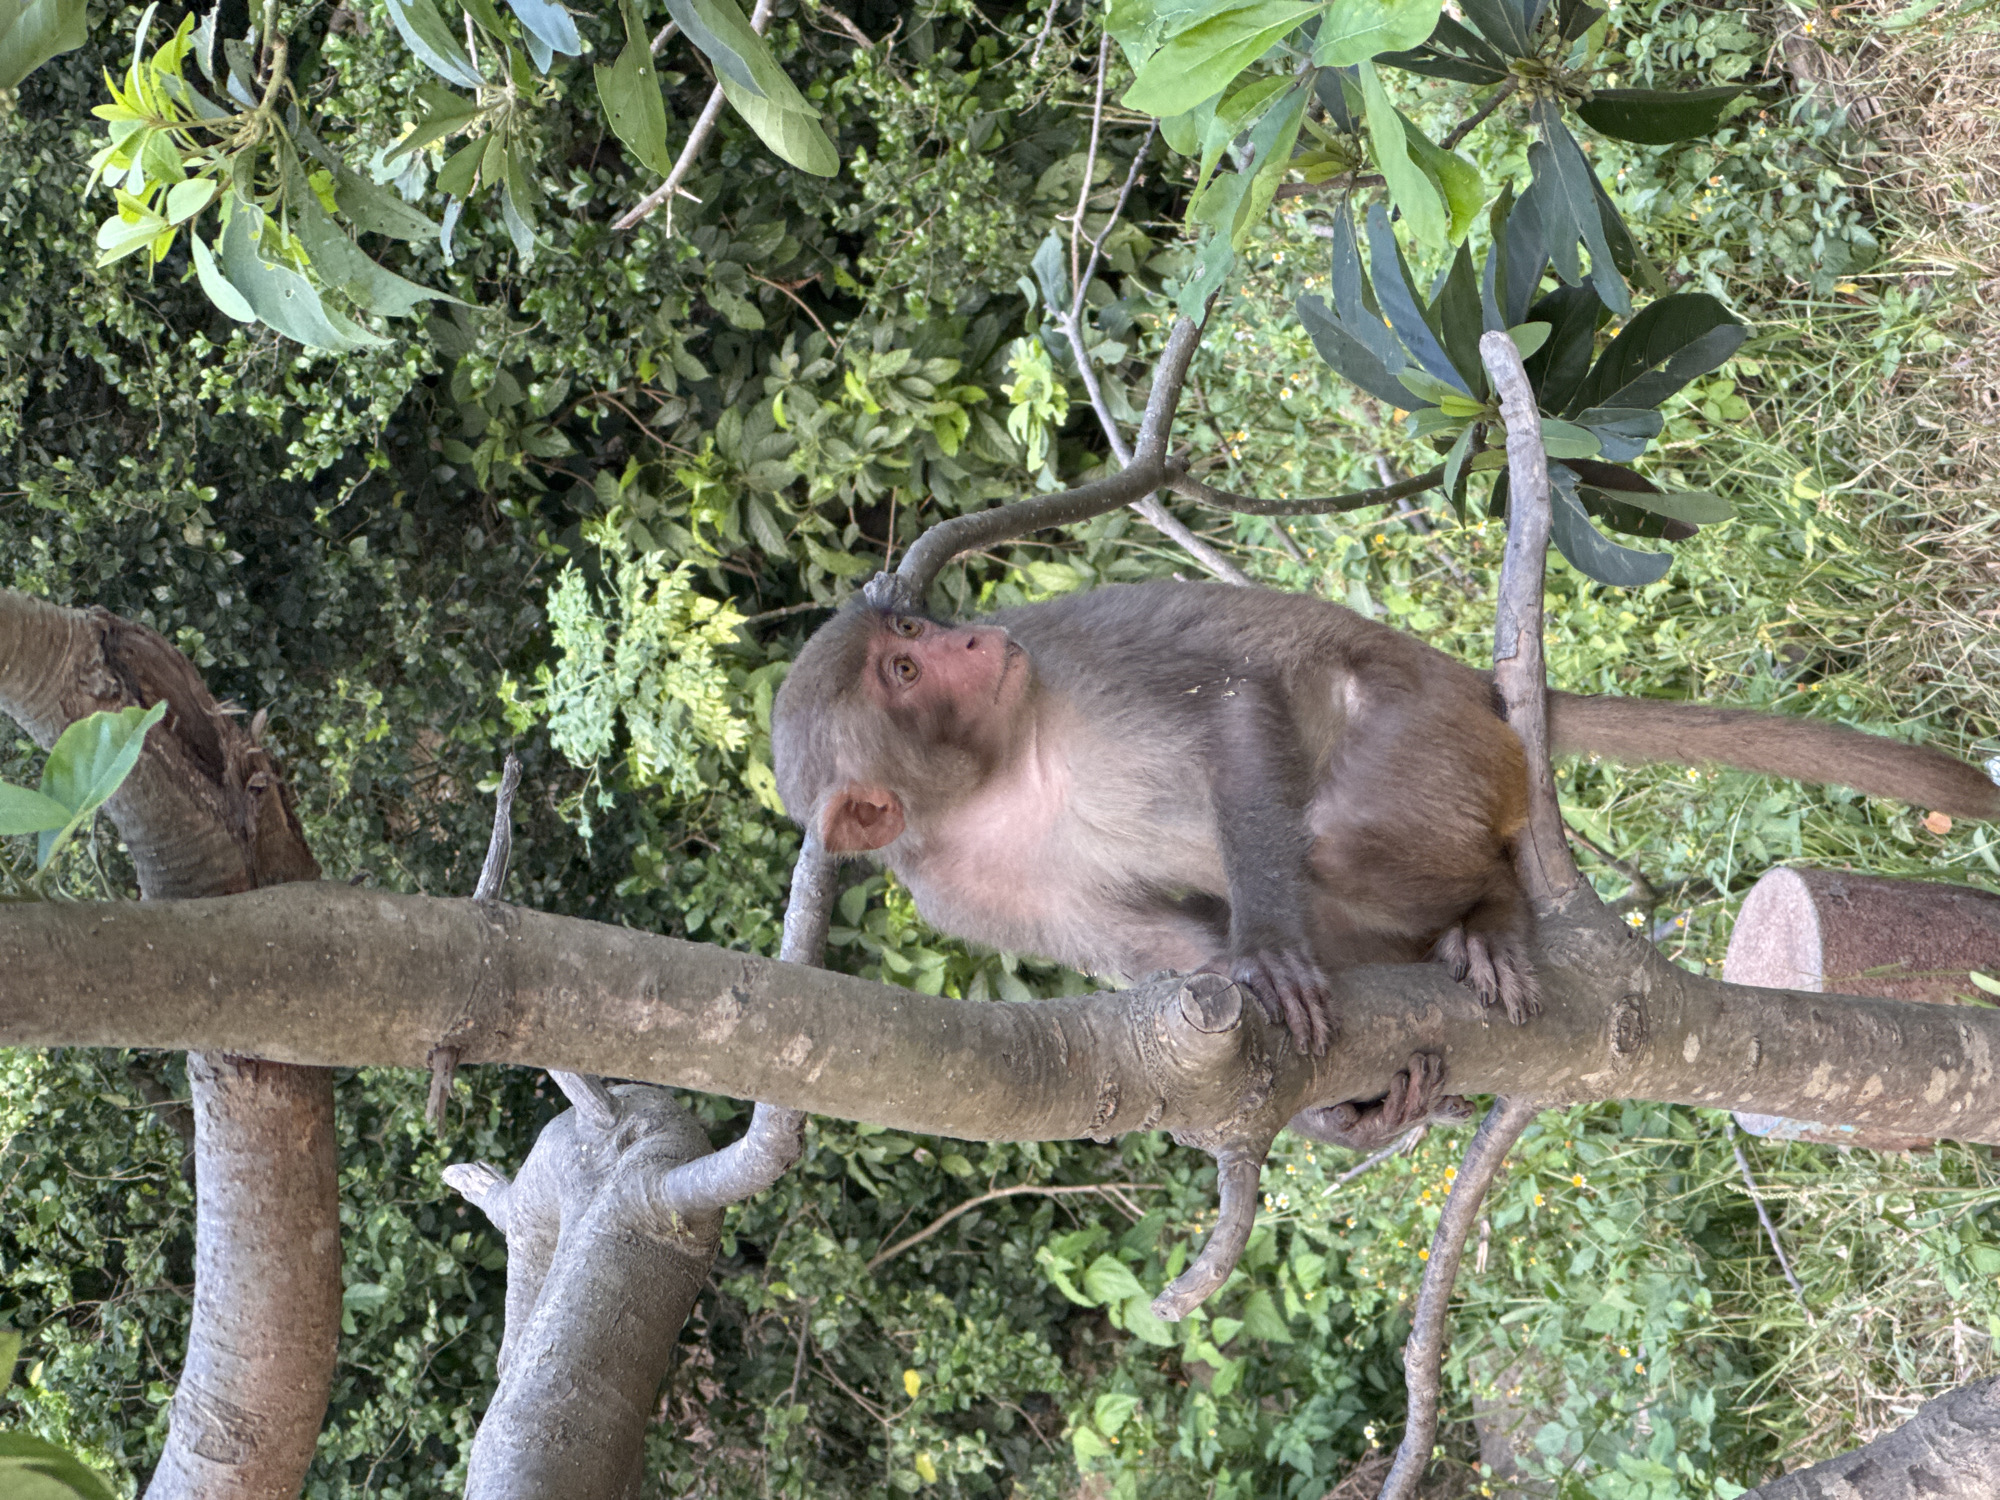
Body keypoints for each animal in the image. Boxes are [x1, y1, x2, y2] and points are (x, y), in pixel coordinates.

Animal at [771, 578, 2000, 1062]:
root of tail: (1467, 684)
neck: (996, 779)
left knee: (1340, 833)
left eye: (915, 635)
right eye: (902, 665)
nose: (974, 638)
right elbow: (1160, 952)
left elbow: (1232, 711)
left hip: (1436, 739)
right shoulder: (964, 892)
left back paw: (1493, 908)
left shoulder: (1074, 671)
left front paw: (1269, 946)